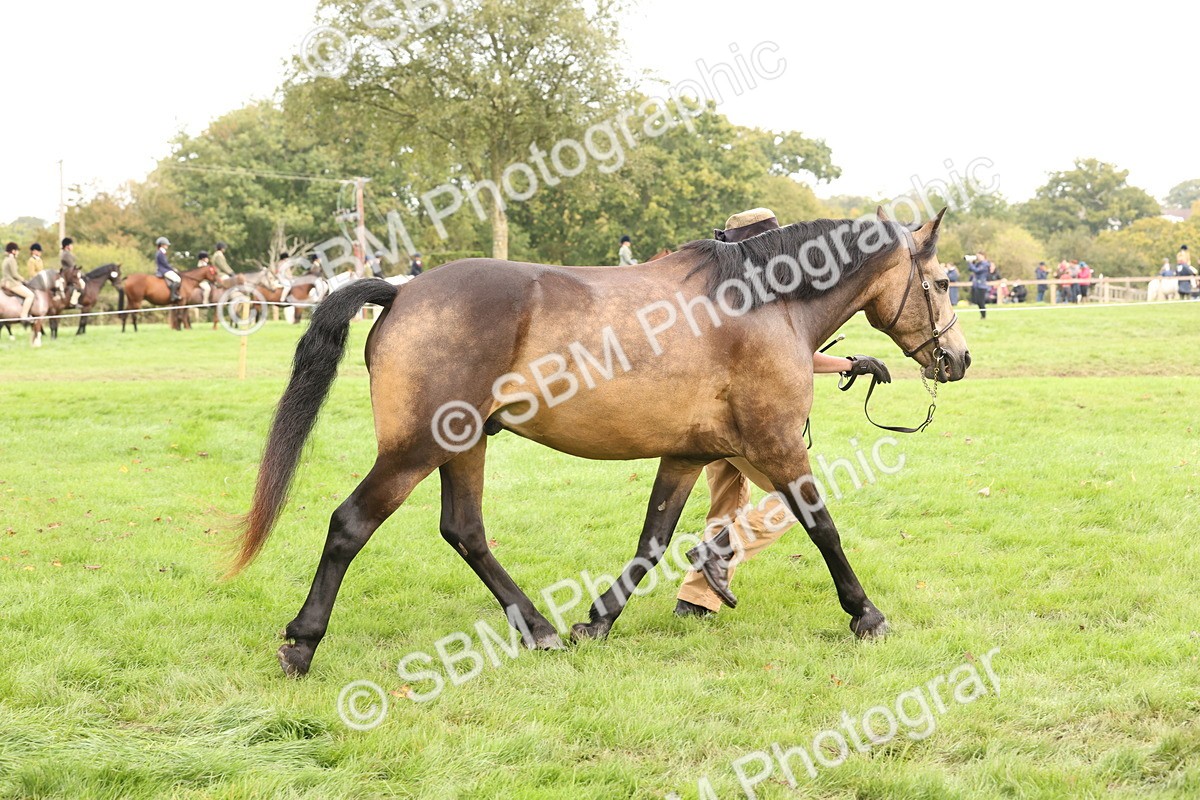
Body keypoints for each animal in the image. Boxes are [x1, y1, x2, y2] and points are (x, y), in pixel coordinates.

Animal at [230, 208, 971, 678]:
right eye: (940, 283)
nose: (958, 360)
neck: (764, 304)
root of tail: (402, 292)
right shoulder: (780, 445)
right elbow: (823, 527)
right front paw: (866, 614)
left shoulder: (685, 456)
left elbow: (653, 541)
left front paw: (598, 621)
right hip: (414, 451)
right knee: (351, 523)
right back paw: (301, 644)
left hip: (465, 445)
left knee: (464, 530)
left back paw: (541, 630)